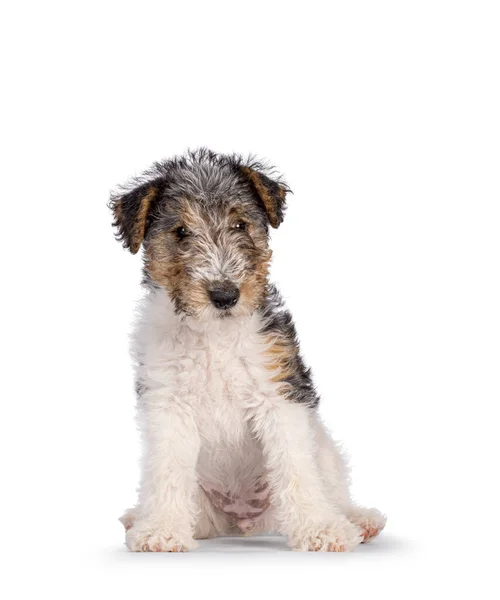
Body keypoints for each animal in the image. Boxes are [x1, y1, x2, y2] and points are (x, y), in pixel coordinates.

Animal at [110, 148, 386, 552]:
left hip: (324, 451)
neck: (215, 334)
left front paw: (320, 529)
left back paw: (358, 521)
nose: (225, 295)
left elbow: (296, 467)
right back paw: (139, 518)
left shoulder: (278, 394)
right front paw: (161, 530)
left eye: (240, 225)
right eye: (181, 232)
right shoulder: (168, 403)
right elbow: (168, 469)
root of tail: (242, 522)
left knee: (331, 488)